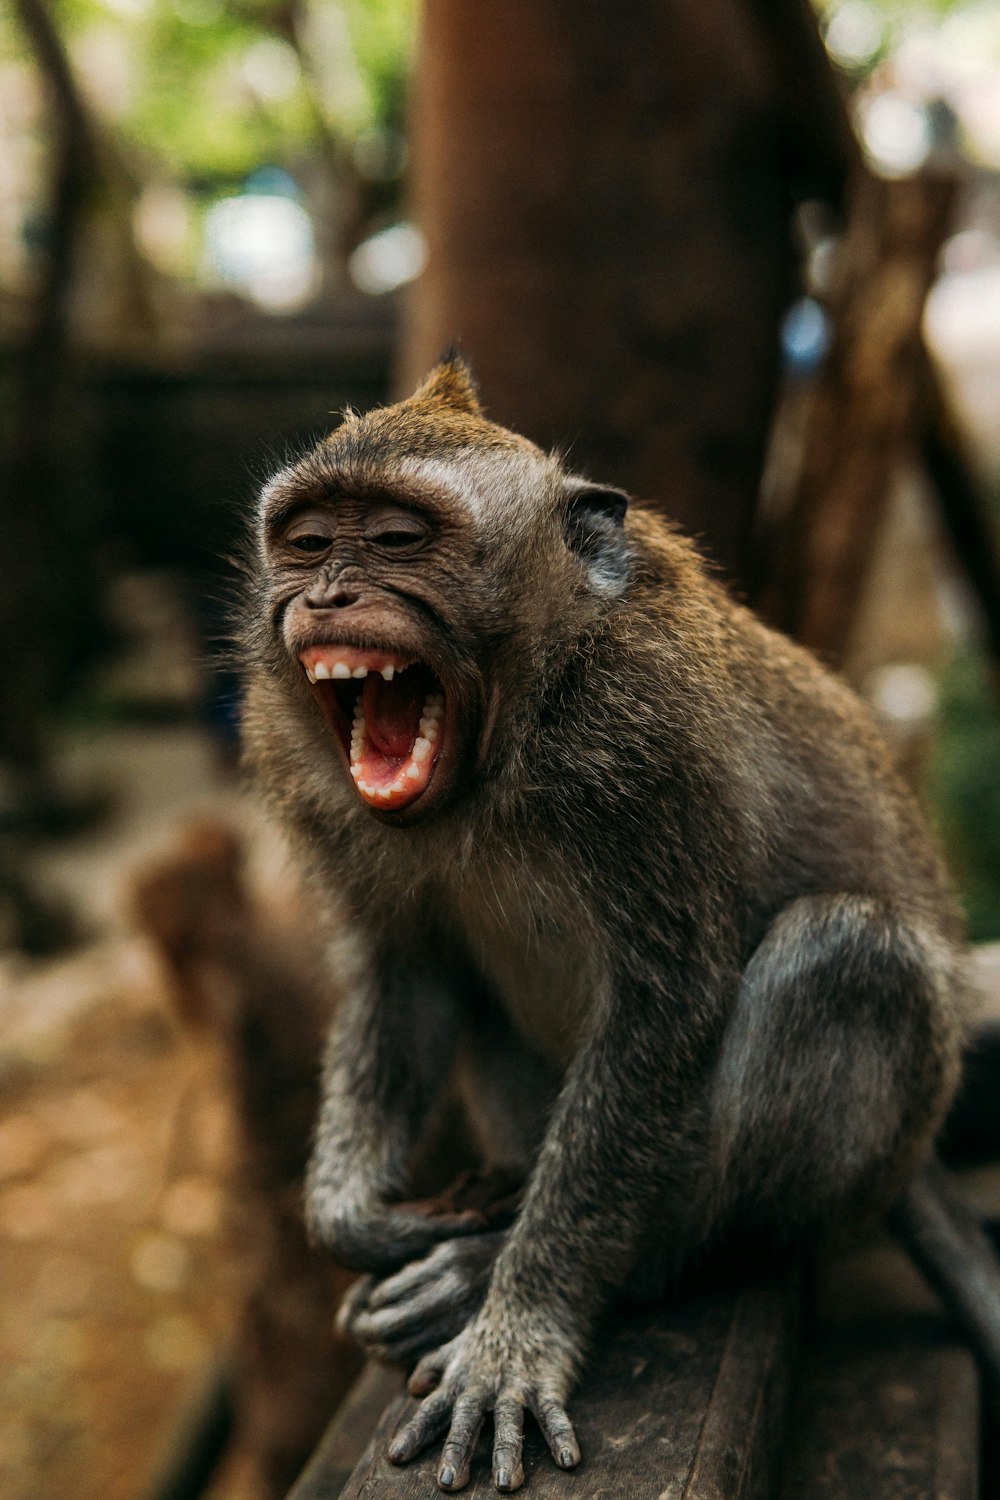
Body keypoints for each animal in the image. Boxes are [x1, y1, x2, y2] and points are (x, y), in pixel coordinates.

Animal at [239, 357, 995, 1494]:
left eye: (400, 540)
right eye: (309, 541)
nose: (326, 596)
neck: (512, 737)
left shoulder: (644, 743)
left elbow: (662, 1011)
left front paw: (518, 1328)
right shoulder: (310, 773)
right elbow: (406, 974)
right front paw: (357, 1219)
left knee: (845, 955)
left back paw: (586, 1262)